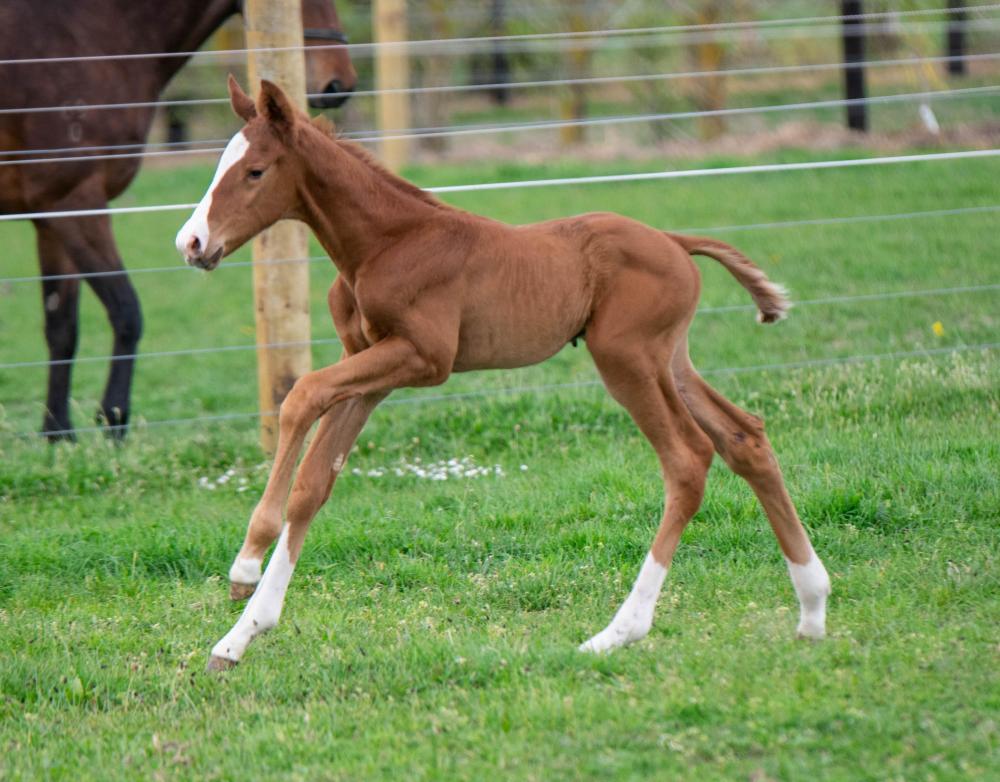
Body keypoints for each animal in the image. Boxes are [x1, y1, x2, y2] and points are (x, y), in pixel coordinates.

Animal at [0, 0, 356, 440]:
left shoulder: (51, 216)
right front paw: (113, 420)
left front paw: (58, 434)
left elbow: (61, 326)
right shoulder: (75, 204)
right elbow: (126, 311)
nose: (338, 83)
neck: (83, 40)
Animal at [178, 76, 828, 672]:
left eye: (255, 171)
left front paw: (245, 563)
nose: (193, 242)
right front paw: (239, 637)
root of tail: (674, 240)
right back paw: (813, 609)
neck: (387, 242)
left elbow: (300, 395)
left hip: (627, 358)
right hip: (670, 360)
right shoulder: (373, 371)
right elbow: (314, 483)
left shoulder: (423, 358)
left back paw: (618, 632)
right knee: (745, 436)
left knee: (688, 459)